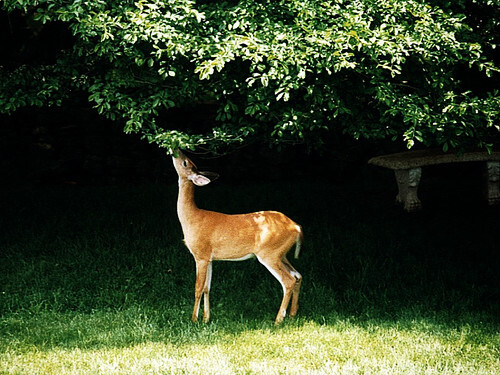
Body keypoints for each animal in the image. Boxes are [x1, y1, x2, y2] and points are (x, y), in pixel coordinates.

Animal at [172, 150, 302, 326]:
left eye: (185, 162)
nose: (175, 150)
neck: (192, 218)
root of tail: (296, 227)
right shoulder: (210, 258)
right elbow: (207, 287)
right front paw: (206, 319)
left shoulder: (200, 254)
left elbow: (198, 288)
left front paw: (193, 319)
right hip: (281, 254)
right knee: (297, 276)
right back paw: (292, 314)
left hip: (270, 253)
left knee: (288, 281)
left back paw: (278, 320)